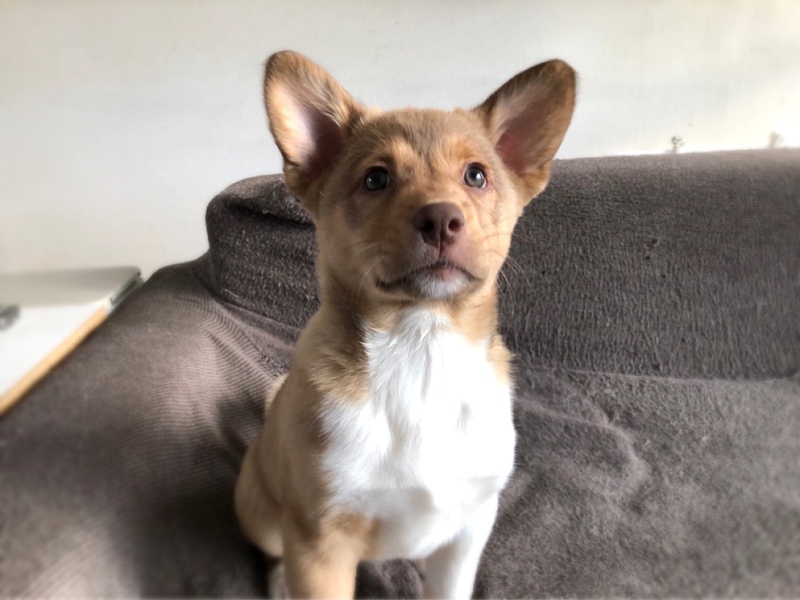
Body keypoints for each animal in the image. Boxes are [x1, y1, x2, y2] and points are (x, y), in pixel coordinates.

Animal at [235, 50, 576, 599]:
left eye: (476, 176)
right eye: (376, 179)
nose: (441, 220)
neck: (422, 349)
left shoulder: (469, 527)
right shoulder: (319, 543)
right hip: (263, 511)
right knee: (271, 554)